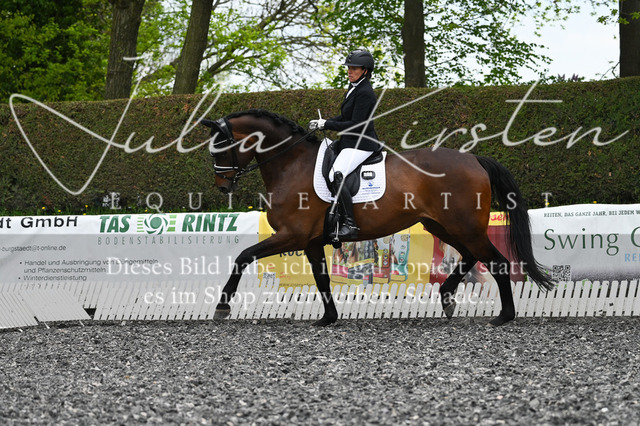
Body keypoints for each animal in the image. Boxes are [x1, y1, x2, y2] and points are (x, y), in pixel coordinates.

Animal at [200, 109, 554, 327]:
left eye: (220, 146)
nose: (222, 185)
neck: (291, 165)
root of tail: (474, 159)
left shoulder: (292, 235)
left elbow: (243, 256)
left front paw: (222, 307)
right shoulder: (311, 241)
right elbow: (322, 278)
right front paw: (328, 318)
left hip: (463, 225)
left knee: (496, 262)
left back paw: (504, 315)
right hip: (442, 224)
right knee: (469, 255)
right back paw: (447, 298)